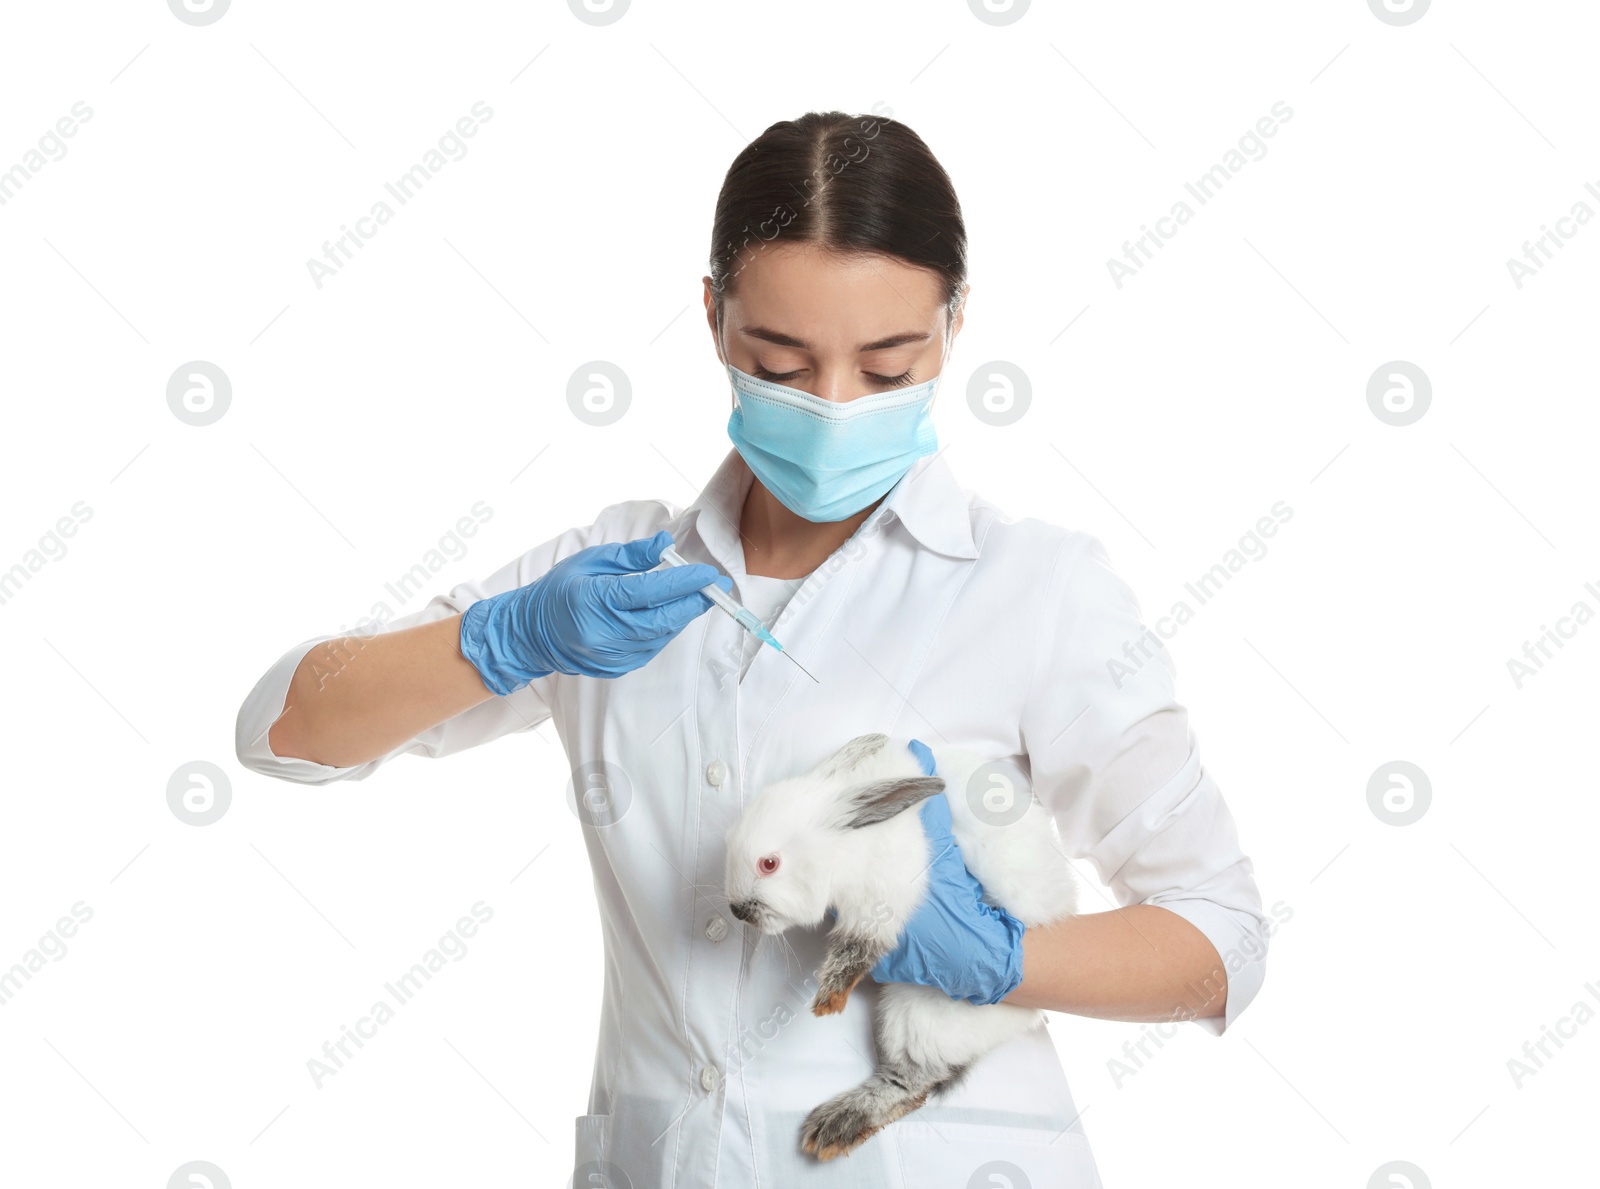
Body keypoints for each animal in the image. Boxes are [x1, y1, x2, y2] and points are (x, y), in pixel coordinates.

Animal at [723, 729, 1075, 1158]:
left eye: (769, 864)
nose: (737, 911)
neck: (845, 846)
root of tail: (1032, 1015)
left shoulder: (880, 902)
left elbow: (857, 949)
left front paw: (828, 1000)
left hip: (921, 1016)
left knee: (912, 1084)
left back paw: (835, 1126)